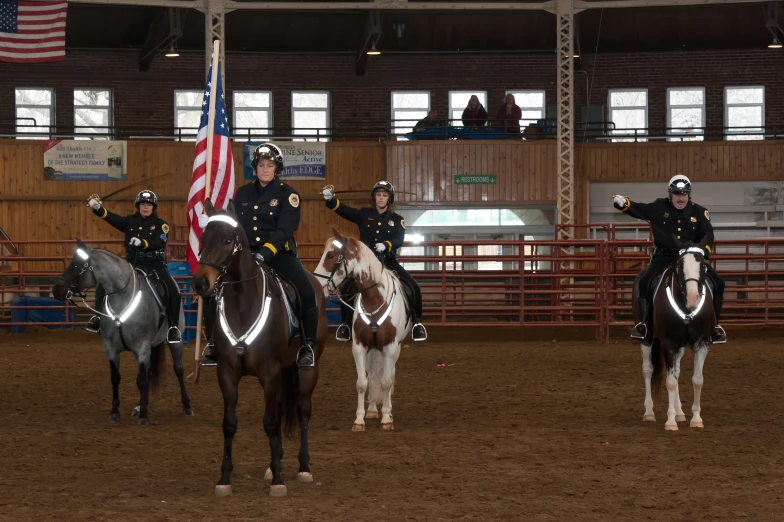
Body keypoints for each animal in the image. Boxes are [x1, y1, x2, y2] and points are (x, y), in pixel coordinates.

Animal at [53, 239, 193, 422]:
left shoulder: (142, 347)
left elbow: (141, 380)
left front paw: (144, 416)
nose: (56, 290)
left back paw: (186, 405)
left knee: (178, 369)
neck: (122, 299)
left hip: (174, 342)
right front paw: (115, 412)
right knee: (149, 373)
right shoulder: (111, 349)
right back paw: (140, 406)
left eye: (77, 265)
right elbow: (116, 378)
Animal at [191, 198, 326, 496]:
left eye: (228, 240)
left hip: (306, 370)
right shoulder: (227, 372)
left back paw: (303, 467)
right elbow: (230, 424)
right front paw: (225, 479)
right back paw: (274, 463)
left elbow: (270, 422)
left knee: (303, 411)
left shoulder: (269, 371)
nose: (201, 283)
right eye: (203, 239)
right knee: (281, 409)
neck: (243, 303)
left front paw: (278, 481)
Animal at [314, 229, 410, 430]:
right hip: (373, 349)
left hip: (393, 349)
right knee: (373, 375)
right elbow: (362, 383)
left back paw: (387, 410)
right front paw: (359, 420)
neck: (374, 299)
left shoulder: (391, 347)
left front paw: (387, 418)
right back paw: (372, 409)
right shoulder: (359, 346)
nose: (318, 285)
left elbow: (387, 381)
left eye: (330, 255)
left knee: (389, 376)